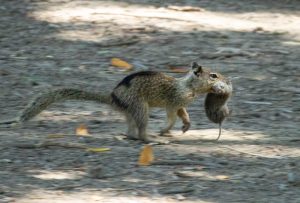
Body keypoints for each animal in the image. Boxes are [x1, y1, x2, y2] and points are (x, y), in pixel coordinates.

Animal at [0, 61, 231, 143]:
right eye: (213, 76)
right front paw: (166, 130)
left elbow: (184, 114)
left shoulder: (181, 103)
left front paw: (186, 125)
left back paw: (130, 136)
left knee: (131, 131)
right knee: (141, 132)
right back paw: (153, 139)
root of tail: (113, 97)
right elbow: (172, 116)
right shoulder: (173, 101)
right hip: (140, 108)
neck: (188, 86)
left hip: (131, 111)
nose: (228, 81)